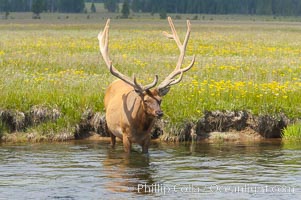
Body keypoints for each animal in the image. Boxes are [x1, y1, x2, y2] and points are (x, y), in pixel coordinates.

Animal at [98, 17, 195, 153]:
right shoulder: (125, 136)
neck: (139, 128)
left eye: (160, 100)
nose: (159, 113)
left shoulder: (147, 138)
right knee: (111, 142)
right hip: (110, 127)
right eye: (145, 100)